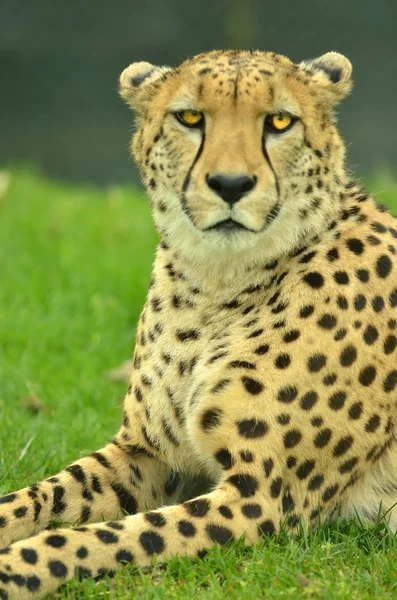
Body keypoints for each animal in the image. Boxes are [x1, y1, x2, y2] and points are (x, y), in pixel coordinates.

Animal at [0, 49, 396, 596]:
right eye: (189, 117)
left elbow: (105, 537)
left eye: (280, 121)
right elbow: (43, 495)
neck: (215, 287)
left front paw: (14, 568)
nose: (231, 185)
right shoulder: (147, 454)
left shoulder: (261, 499)